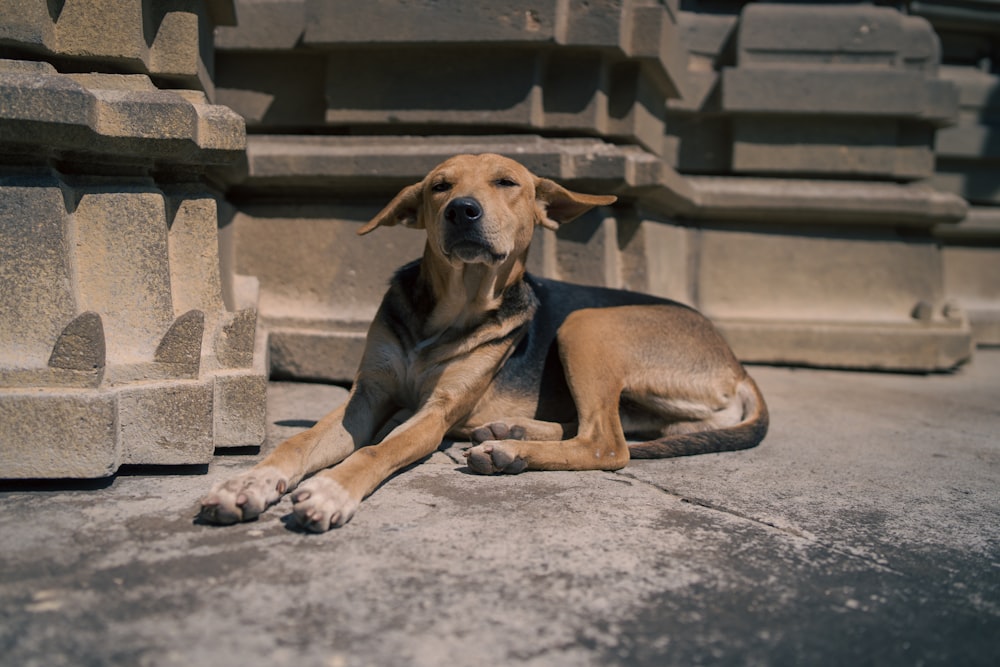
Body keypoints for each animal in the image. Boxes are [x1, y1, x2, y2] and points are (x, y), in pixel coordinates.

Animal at [199, 154, 768, 536]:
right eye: (439, 186)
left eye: (507, 182)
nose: (462, 210)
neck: (451, 311)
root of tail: (737, 364)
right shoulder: (367, 396)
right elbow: (299, 443)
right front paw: (248, 484)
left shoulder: (435, 412)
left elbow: (380, 449)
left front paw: (331, 488)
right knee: (598, 427)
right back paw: (508, 430)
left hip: (585, 324)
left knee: (607, 443)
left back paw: (508, 448)